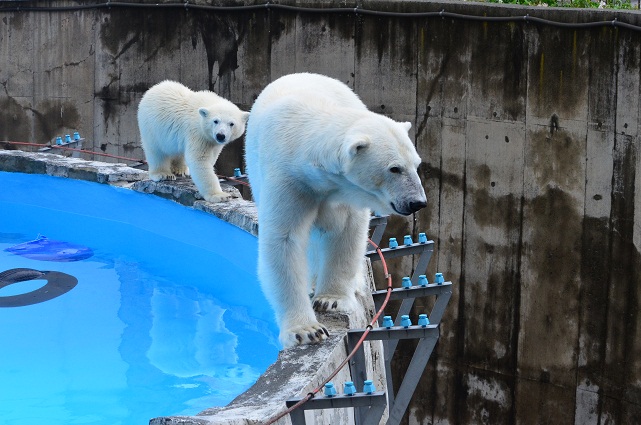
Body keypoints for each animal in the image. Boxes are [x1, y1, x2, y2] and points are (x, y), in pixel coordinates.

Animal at [245, 72, 424, 344]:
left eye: (416, 164)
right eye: (395, 168)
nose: (417, 202)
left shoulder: (342, 191)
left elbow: (346, 230)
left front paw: (331, 300)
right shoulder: (288, 179)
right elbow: (284, 239)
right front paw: (306, 330)